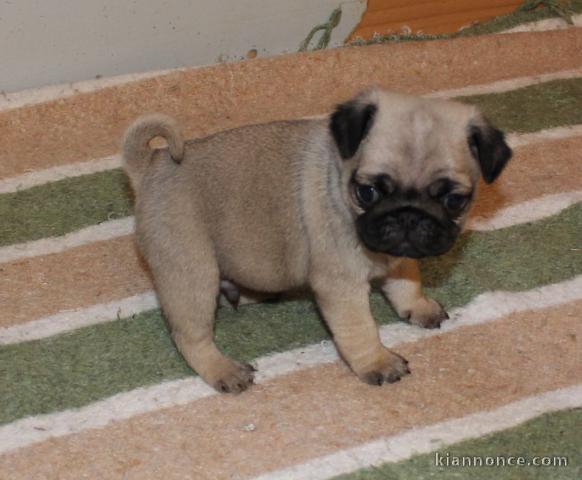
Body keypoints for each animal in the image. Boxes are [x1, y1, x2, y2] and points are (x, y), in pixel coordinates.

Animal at [122, 88, 512, 392]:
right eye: (368, 191)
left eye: (454, 200)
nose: (409, 216)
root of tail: (153, 167)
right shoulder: (342, 287)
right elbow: (359, 329)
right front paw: (378, 363)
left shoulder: (400, 257)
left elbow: (406, 283)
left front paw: (418, 307)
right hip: (192, 272)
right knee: (190, 336)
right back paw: (223, 369)